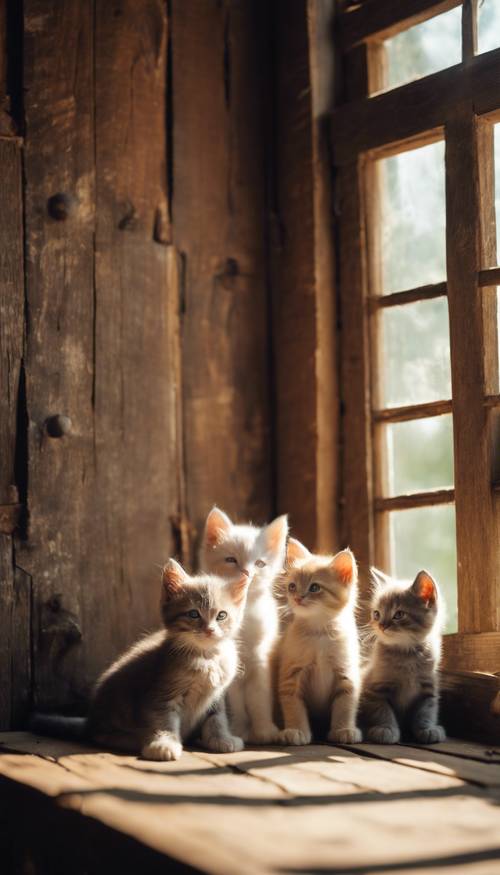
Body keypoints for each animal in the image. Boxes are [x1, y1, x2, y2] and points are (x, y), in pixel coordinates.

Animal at [32, 560, 248, 760]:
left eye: (221, 616)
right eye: (193, 614)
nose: (209, 630)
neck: (207, 657)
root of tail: (89, 722)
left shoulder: (217, 695)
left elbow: (217, 719)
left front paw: (222, 739)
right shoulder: (161, 693)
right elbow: (163, 720)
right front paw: (163, 745)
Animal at [200, 506, 290, 744]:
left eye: (259, 564)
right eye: (231, 560)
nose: (247, 572)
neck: (245, 612)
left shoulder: (261, 659)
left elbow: (259, 697)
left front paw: (264, 730)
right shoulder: (230, 665)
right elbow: (237, 703)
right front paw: (239, 730)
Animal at [276, 540, 362, 744]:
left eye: (314, 588)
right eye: (292, 586)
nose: (297, 598)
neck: (319, 633)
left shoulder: (346, 673)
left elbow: (345, 704)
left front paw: (344, 729)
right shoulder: (291, 675)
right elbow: (293, 705)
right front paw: (296, 730)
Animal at [360, 568, 446, 744]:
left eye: (399, 614)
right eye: (377, 614)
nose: (381, 625)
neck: (406, 655)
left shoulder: (428, 687)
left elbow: (427, 711)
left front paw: (427, 729)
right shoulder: (376, 690)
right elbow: (382, 711)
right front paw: (386, 729)